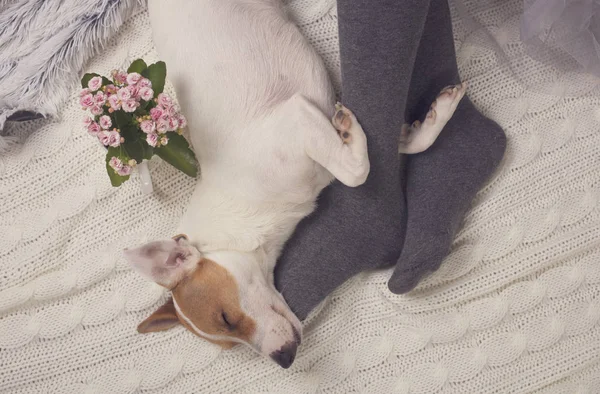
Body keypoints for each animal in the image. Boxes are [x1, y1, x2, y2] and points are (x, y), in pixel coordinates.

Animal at [124, 0, 466, 370]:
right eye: (230, 342)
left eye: (226, 317)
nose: (284, 359)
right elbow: (391, 147)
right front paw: (428, 120)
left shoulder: (298, 118)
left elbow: (357, 171)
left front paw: (360, 126)